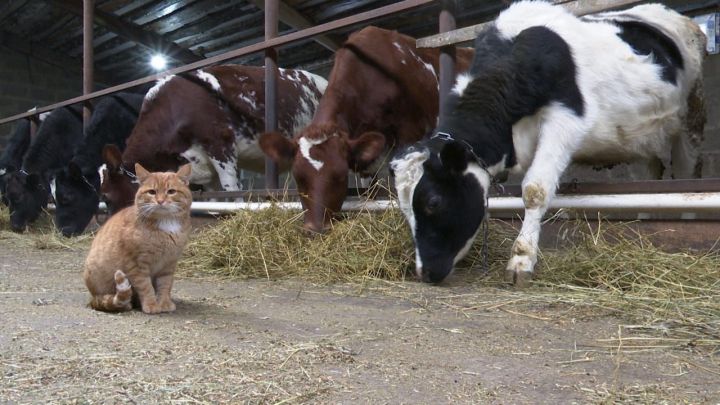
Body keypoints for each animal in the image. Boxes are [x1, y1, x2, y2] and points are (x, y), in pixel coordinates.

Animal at [83, 163, 194, 312]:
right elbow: (146, 287)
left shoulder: (168, 264)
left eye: (171, 191)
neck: (166, 224)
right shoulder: (136, 265)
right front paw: (151, 304)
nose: (160, 201)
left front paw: (164, 303)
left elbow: (165, 285)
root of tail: (93, 298)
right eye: (152, 192)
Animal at [390, 0, 704, 284]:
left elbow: (535, 190)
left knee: (687, 169)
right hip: (644, 134)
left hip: (692, 112)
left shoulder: (564, 119)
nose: (424, 273)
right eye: (404, 208)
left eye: (433, 201)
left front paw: (521, 260)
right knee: (650, 172)